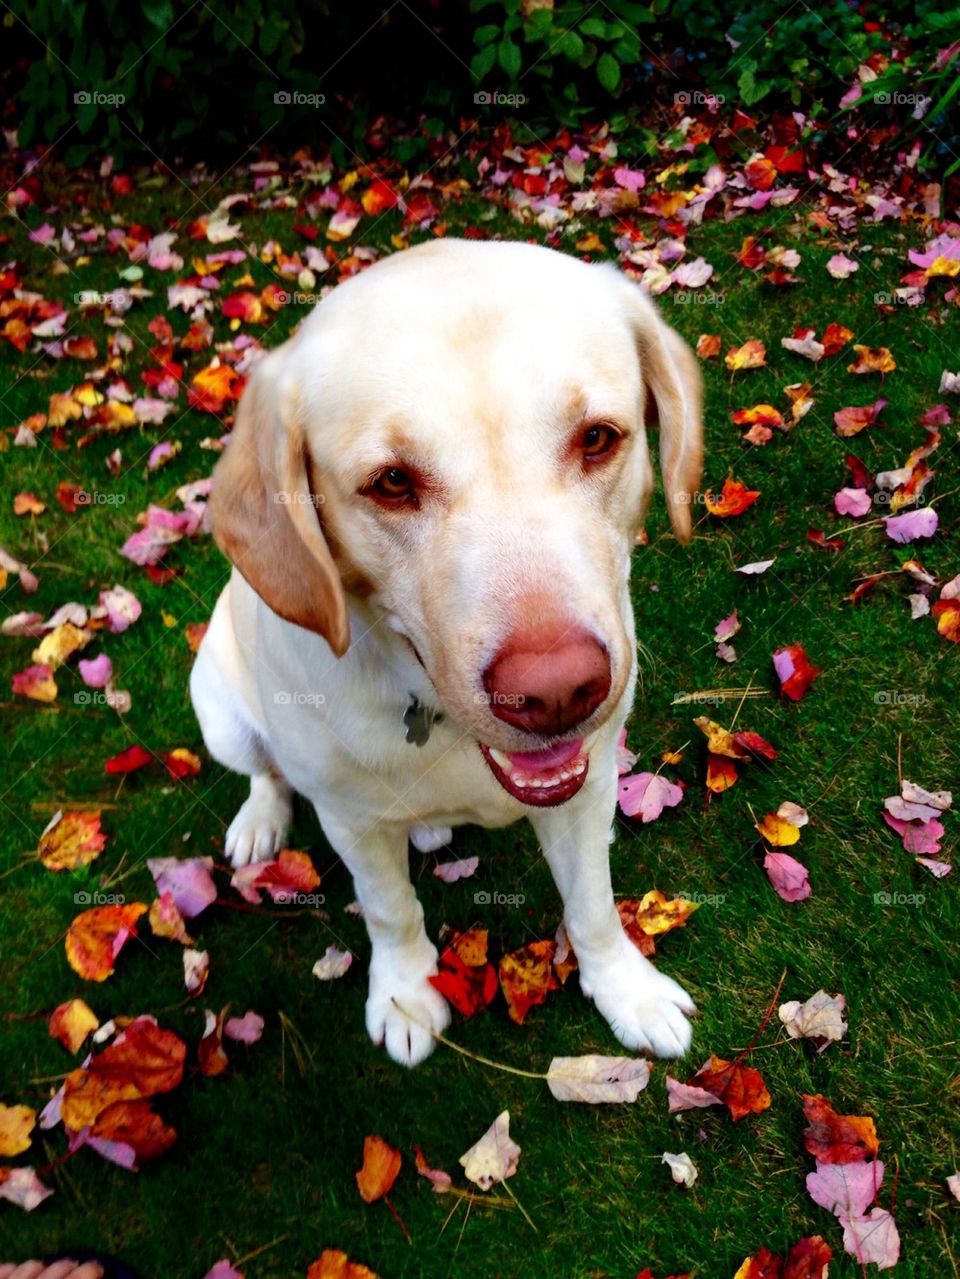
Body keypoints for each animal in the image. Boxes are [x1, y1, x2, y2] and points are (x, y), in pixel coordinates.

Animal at [191, 235, 705, 1064]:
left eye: (597, 437)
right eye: (392, 482)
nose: (556, 691)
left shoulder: (589, 786)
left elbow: (593, 904)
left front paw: (626, 989)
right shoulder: (350, 821)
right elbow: (389, 908)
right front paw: (404, 995)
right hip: (219, 709)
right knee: (266, 770)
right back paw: (260, 820)